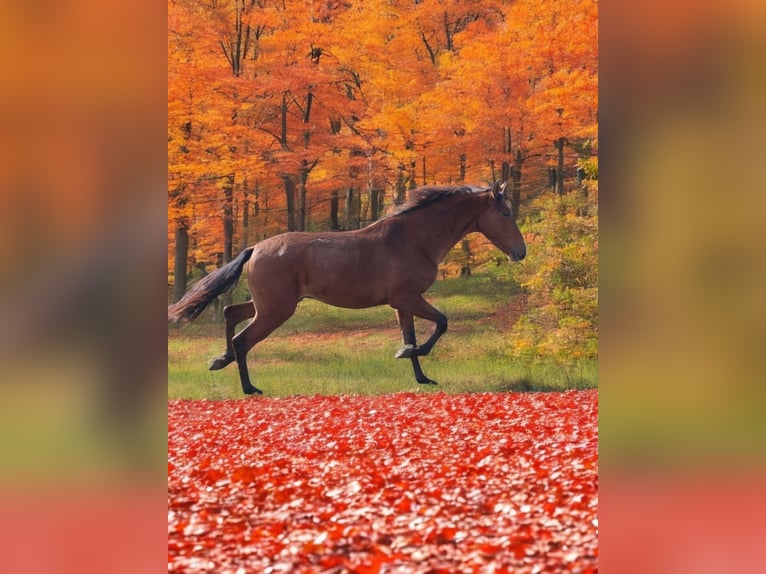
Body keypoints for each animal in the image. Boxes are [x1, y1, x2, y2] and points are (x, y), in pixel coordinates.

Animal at [168, 183, 528, 396]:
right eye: (506, 212)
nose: (520, 252)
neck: (414, 238)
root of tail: (255, 248)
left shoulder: (401, 304)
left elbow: (412, 336)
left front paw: (421, 376)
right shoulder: (408, 297)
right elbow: (441, 323)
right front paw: (408, 356)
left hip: (267, 305)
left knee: (231, 313)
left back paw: (220, 359)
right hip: (276, 310)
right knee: (243, 340)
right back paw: (249, 387)